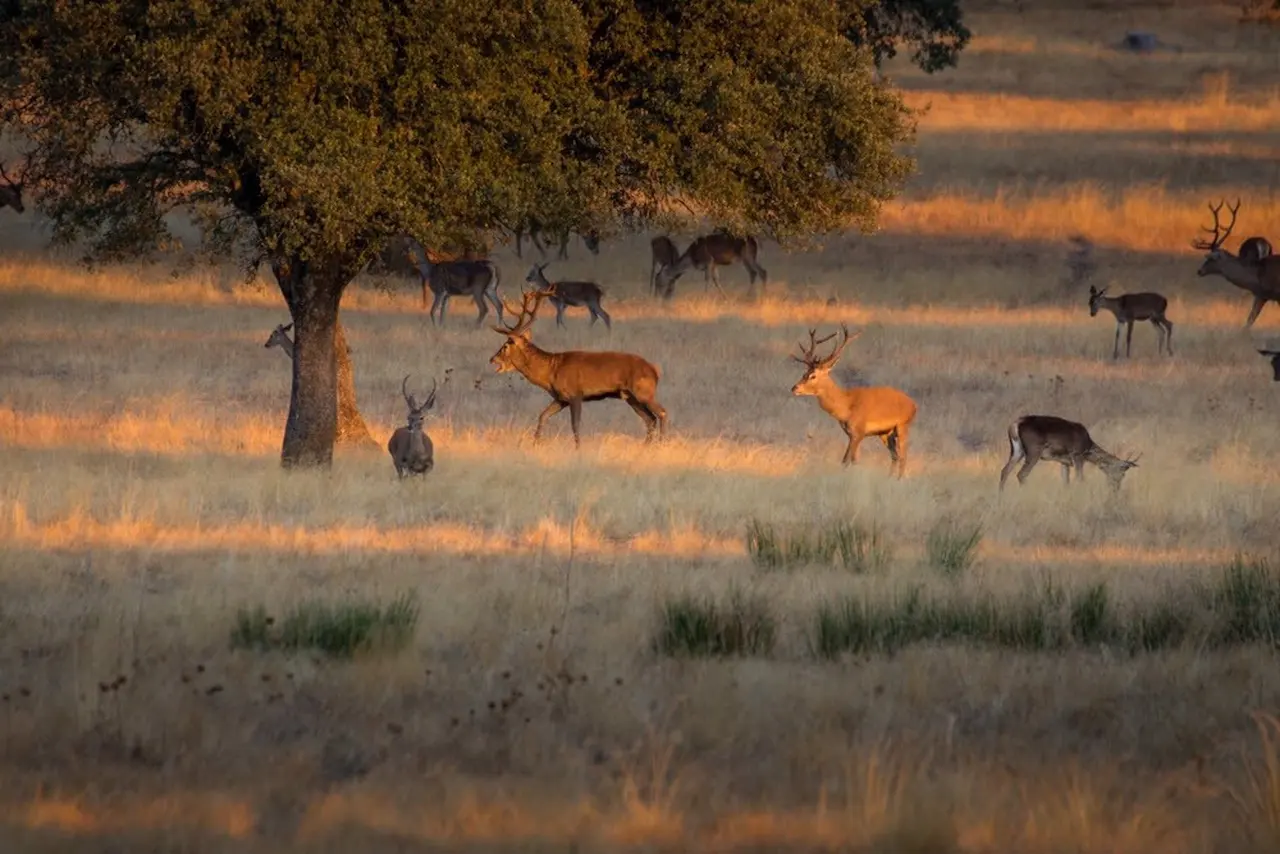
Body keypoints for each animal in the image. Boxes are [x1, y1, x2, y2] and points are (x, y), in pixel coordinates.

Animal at [486, 286, 670, 448]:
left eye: (506, 345)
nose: (492, 359)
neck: (551, 371)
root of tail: (654, 371)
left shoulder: (575, 394)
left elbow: (575, 425)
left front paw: (578, 448)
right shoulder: (561, 398)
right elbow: (542, 416)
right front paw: (535, 444)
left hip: (643, 391)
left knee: (661, 413)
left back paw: (661, 444)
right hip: (630, 396)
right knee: (650, 419)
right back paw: (645, 447)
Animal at [788, 323, 921, 478]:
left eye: (813, 375)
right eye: (804, 373)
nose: (794, 388)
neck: (846, 406)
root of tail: (913, 405)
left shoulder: (859, 432)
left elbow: (846, 460)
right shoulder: (851, 434)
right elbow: (854, 460)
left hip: (903, 425)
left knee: (903, 456)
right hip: (885, 433)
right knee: (895, 455)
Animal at [998, 414, 1141, 491]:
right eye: (1122, 473)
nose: (1116, 488)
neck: (1088, 446)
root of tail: (1014, 425)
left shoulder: (1064, 461)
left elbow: (1066, 482)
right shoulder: (1077, 455)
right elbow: (1080, 479)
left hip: (1017, 451)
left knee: (1005, 470)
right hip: (1034, 451)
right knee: (1021, 474)